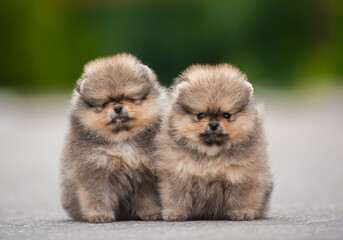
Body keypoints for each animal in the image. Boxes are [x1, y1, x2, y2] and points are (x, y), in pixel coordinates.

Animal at [61, 53, 167, 222]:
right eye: (105, 104)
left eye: (130, 99)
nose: (117, 108)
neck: (123, 139)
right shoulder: (96, 172)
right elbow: (98, 197)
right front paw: (100, 215)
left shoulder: (146, 175)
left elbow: (148, 198)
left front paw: (152, 213)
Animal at [156, 63, 274, 221]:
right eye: (201, 115)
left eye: (227, 115)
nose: (213, 124)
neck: (211, 152)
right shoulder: (179, 174)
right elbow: (176, 197)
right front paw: (175, 213)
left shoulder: (241, 175)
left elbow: (241, 197)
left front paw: (242, 212)